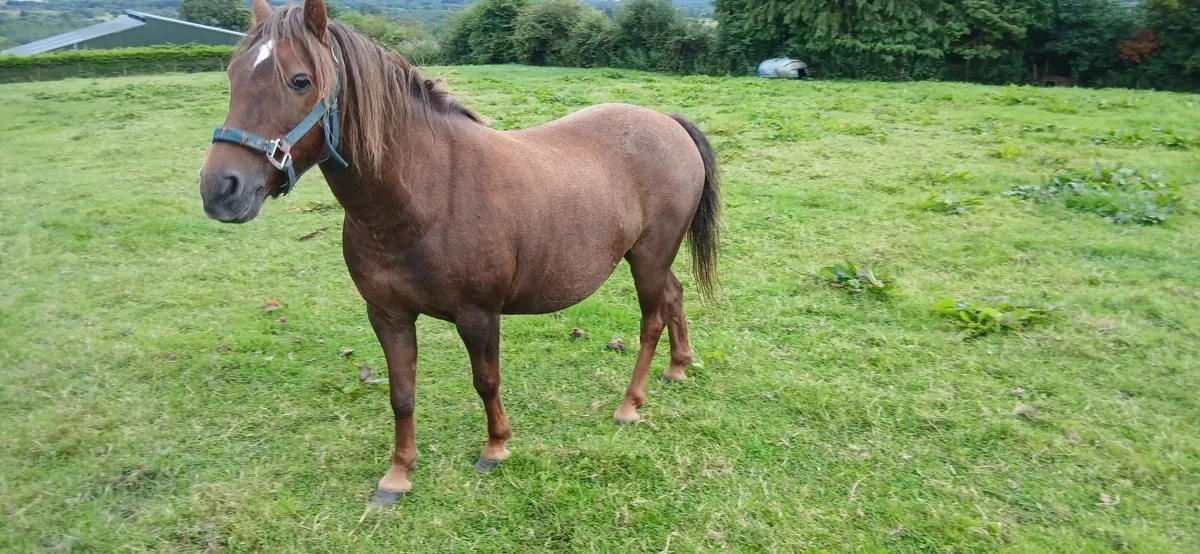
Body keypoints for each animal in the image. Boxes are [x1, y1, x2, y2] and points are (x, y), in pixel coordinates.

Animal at [198, 0, 720, 504]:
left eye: (299, 80)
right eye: (232, 75)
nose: (221, 189)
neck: (425, 194)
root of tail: (668, 123)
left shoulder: (478, 315)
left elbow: (485, 380)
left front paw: (495, 447)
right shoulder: (387, 315)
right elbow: (401, 393)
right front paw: (398, 475)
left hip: (649, 257)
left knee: (651, 320)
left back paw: (629, 405)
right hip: (650, 258)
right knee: (674, 296)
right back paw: (678, 366)